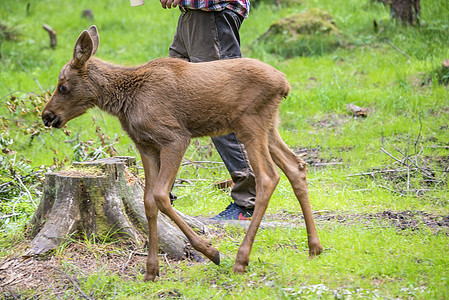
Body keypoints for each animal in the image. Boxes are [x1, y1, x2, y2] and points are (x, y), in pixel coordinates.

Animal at [41, 25, 322, 282]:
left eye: (62, 86)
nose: (47, 116)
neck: (125, 100)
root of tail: (285, 84)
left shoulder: (175, 138)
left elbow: (160, 196)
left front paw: (209, 251)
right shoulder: (146, 146)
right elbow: (148, 202)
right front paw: (151, 270)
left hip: (249, 124)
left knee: (268, 177)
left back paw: (241, 260)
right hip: (269, 126)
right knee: (296, 166)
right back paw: (315, 247)